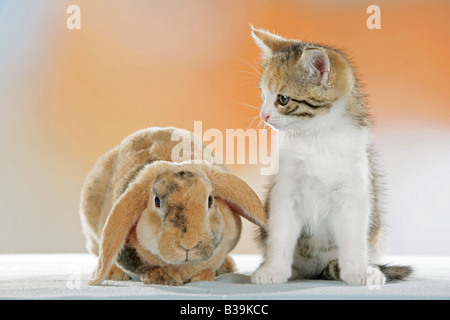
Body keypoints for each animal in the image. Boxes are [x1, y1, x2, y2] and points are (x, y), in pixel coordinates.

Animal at [80, 127, 268, 284]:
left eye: (210, 200)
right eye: (157, 201)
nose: (188, 244)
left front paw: (203, 276)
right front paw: (162, 278)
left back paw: (226, 267)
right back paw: (114, 273)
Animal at [250, 27, 412, 286]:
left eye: (282, 99)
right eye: (263, 95)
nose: (263, 115)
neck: (316, 137)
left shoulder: (353, 190)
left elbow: (354, 236)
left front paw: (358, 271)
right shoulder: (284, 191)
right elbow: (280, 231)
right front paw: (273, 269)